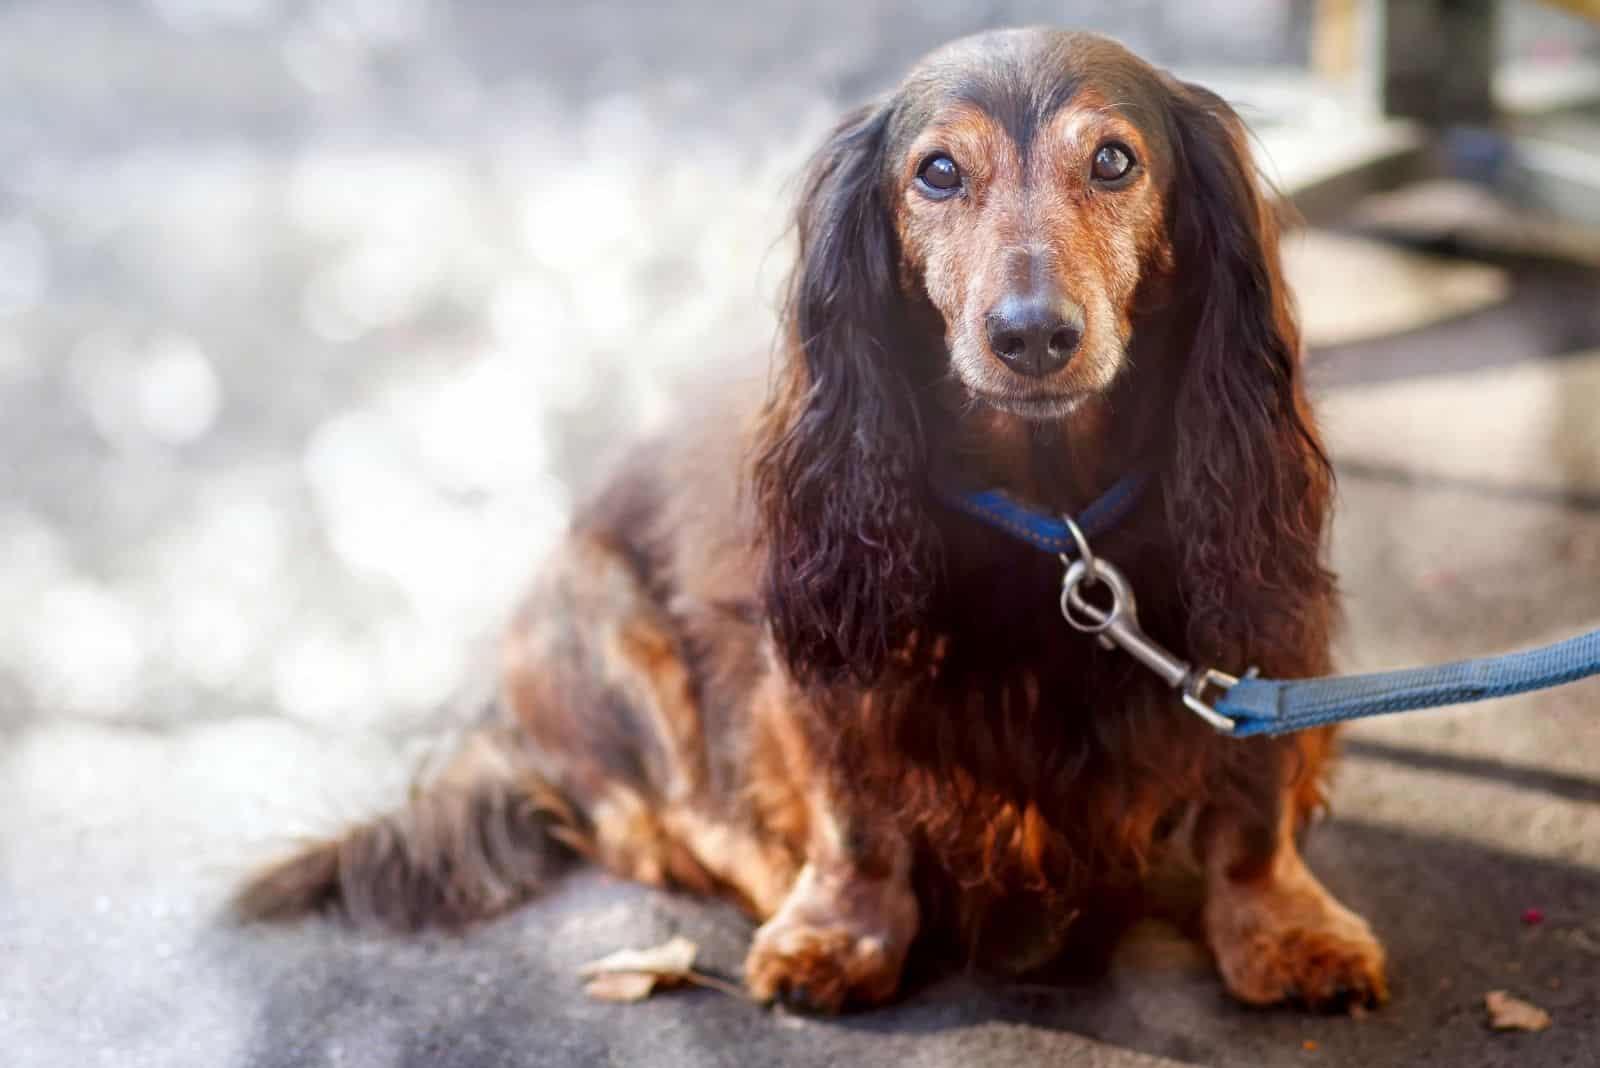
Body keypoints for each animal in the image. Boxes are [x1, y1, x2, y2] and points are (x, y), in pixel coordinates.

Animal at [236, 24, 1388, 1010]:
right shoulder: (824, 656)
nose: (1030, 336)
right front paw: (837, 928)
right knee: (648, 821)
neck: (1052, 520)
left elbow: (1253, 810)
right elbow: (852, 815)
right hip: (611, 634)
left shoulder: (1253, 626)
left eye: (1114, 161)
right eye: (937, 172)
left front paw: (1285, 929)